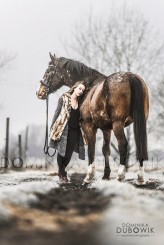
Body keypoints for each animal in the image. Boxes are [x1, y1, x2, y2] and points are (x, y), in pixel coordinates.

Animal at [36, 52, 149, 185]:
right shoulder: (106, 129)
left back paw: (120, 175)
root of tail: (131, 77)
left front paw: (89, 176)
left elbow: (91, 148)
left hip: (118, 124)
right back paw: (140, 177)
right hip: (140, 122)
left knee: (123, 145)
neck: (90, 86)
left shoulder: (89, 126)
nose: (39, 92)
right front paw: (106, 175)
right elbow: (105, 149)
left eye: (48, 71)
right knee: (140, 143)